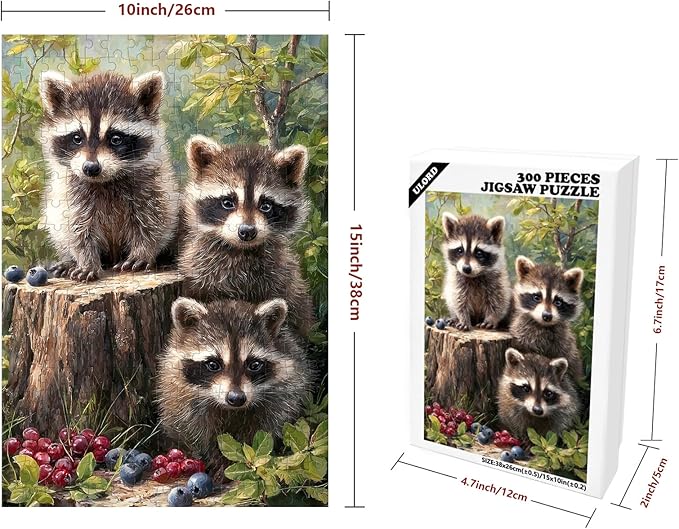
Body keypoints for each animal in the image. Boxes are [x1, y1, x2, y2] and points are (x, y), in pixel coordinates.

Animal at [39, 70, 178, 281]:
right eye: (77, 138)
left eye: (116, 139)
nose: (90, 168)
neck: (104, 181)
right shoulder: (72, 191)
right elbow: (76, 227)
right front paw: (86, 260)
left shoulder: (152, 184)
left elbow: (155, 219)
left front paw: (143, 251)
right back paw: (69, 261)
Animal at [157, 297, 314, 479]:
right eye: (213, 364)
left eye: (254, 364)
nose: (236, 398)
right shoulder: (179, 396)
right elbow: (192, 429)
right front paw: (211, 456)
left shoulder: (282, 393)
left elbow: (267, 427)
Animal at [179, 136, 314, 336]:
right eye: (228, 202)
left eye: (266, 205)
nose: (247, 231)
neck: (241, 250)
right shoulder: (200, 271)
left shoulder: (282, 278)